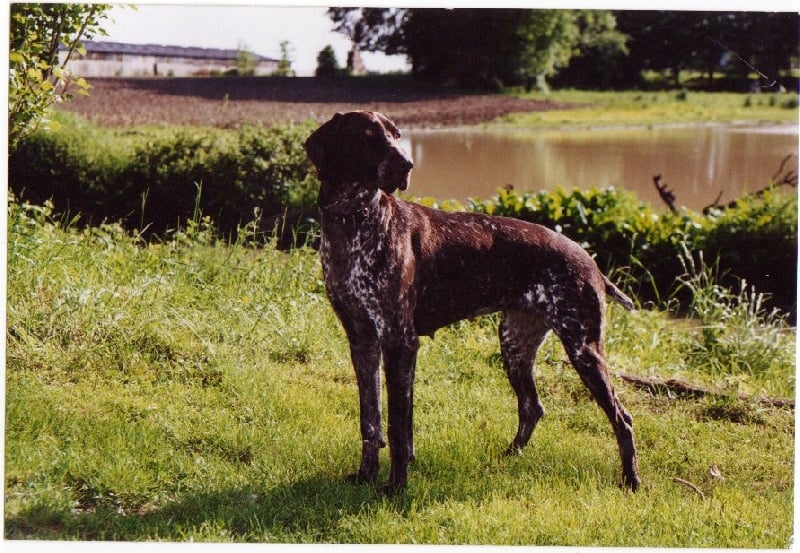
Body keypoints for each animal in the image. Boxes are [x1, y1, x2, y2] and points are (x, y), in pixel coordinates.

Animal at [304, 110, 640, 490]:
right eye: (368, 135)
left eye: (397, 135)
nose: (407, 164)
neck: (353, 220)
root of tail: (591, 262)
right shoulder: (362, 341)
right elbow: (370, 420)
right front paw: (365, 475)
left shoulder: (399, 341)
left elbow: (398, 427)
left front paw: (396, 487)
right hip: (515, 345)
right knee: (532, 406)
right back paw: (509, 456)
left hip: (583, 349)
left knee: (622, 419)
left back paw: (631, 480)